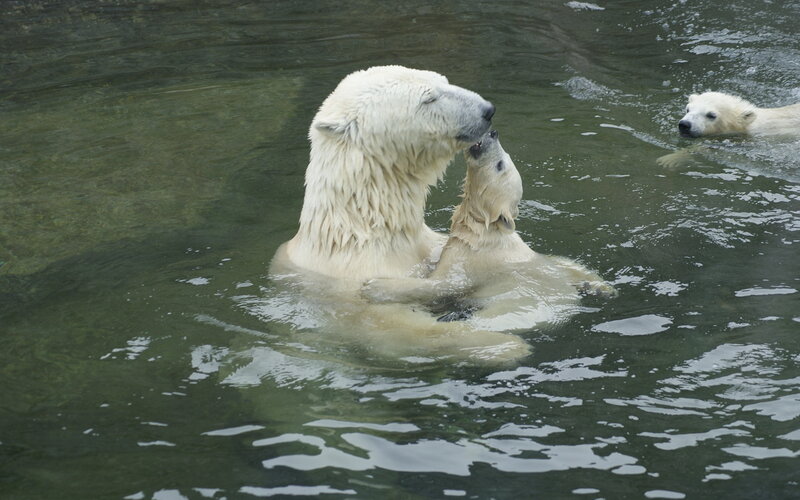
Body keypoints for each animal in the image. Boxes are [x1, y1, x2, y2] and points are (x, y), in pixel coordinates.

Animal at [361, 130, 615, 332]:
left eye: (500, 164)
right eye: (506, 158)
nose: (493, 133)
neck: (483, 230)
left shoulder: (472, 259)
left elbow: (443, 284)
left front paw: (374, 286)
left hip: (516, 307)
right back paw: (600, 288)